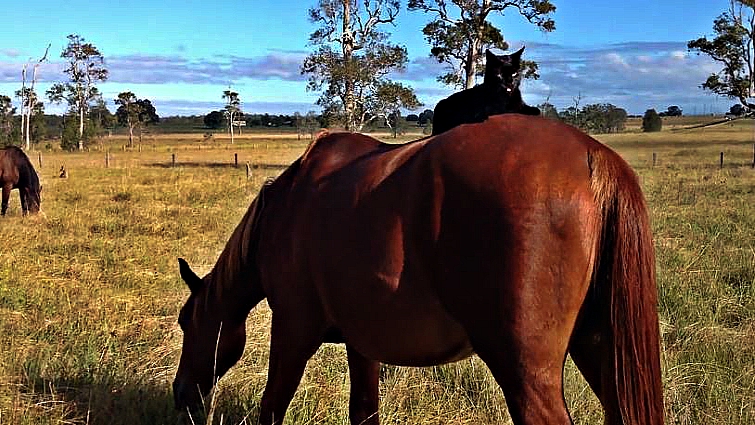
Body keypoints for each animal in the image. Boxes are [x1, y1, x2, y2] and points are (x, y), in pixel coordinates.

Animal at [173, 114, 664, 425]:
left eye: (185, 322)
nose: (181, 395)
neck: (286, 208)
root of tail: (592, 155)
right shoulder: (362, 342)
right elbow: (364, 411)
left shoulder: (293, 331)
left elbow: (273, 406)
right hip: (600, 351)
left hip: (527, 373)